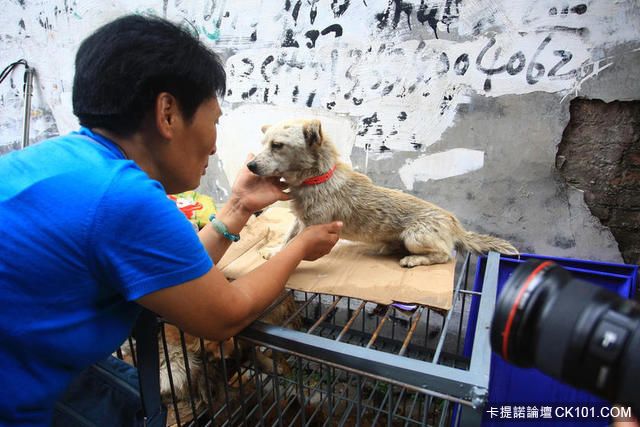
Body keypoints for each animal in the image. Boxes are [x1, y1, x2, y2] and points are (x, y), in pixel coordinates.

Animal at [248, 118, 516, 268]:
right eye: (263, 144)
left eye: (277, 145)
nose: (250, 166)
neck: (316, 178)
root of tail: (455, 224)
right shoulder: (299, 220)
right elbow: (287, 239)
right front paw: (274, 251)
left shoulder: (312, 226)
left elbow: (293, 246)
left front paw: (278, 255)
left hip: (414, 236)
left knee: (444, 255)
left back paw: (413, 259)